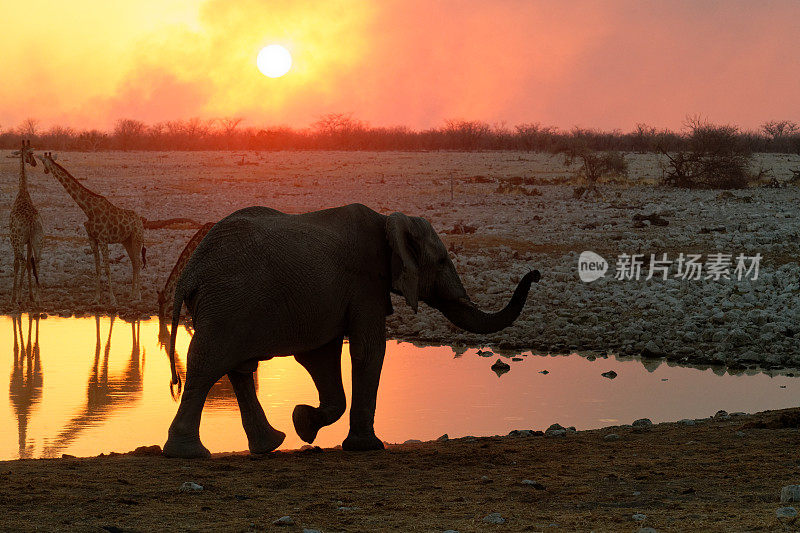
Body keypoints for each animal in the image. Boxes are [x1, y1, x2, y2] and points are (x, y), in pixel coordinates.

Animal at [36, 152, 146, 306]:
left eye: (44, 162)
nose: (46, 171)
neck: (88, 210)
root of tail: (140, 220)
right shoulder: (92, 240)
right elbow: (97, 269)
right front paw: (96, 298)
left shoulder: (103, 239)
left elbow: (107, 268)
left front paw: (112, 299)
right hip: (127, 241)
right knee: (134, 263)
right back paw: (131, 295)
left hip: (137, 238)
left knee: (138, 262)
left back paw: (138, 296)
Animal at [161, 204, 536, 458]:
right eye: (442, 261)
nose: (536, 273)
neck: (389, 221)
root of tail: (190, 271)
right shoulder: (365, 282)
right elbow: (368, 349)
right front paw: (367, 447)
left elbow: (321, 356)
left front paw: (303, 423)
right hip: (227, 301)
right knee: (208, 364)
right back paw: (188, 453)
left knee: (238, 367)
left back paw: (271, 444)